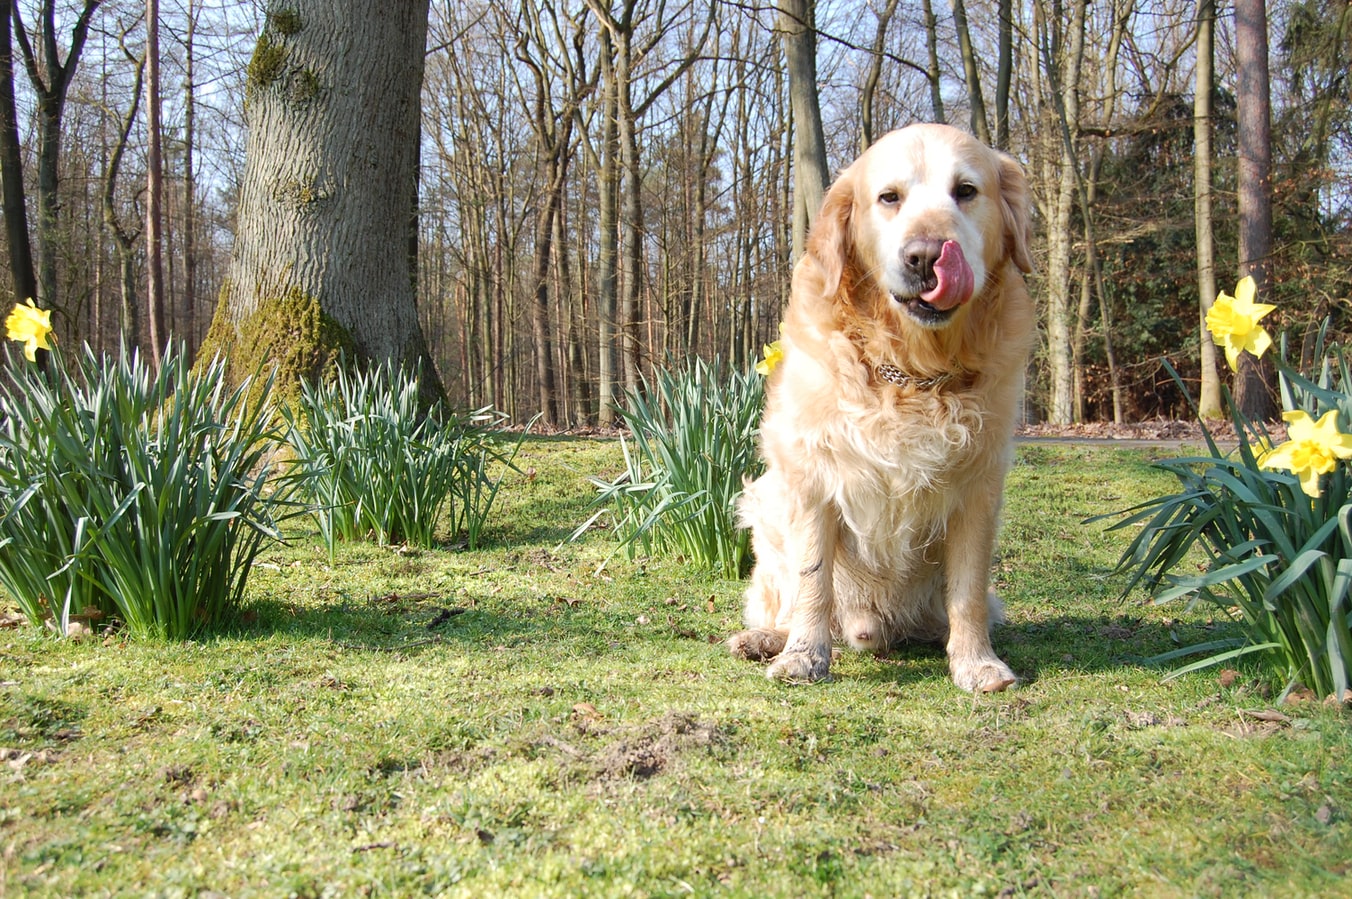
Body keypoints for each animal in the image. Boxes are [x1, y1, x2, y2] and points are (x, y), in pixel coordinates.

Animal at [730, 123, 1032, 689]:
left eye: (966, 190)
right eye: (889, 197)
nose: (926, 255)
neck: (913, 374)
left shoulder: (979, 486)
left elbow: (967, 591)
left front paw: (976, 661)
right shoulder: (812, 476)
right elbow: (813, 580)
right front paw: (803, 655)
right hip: (763, 510)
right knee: (784, 599)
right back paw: (764, 639)